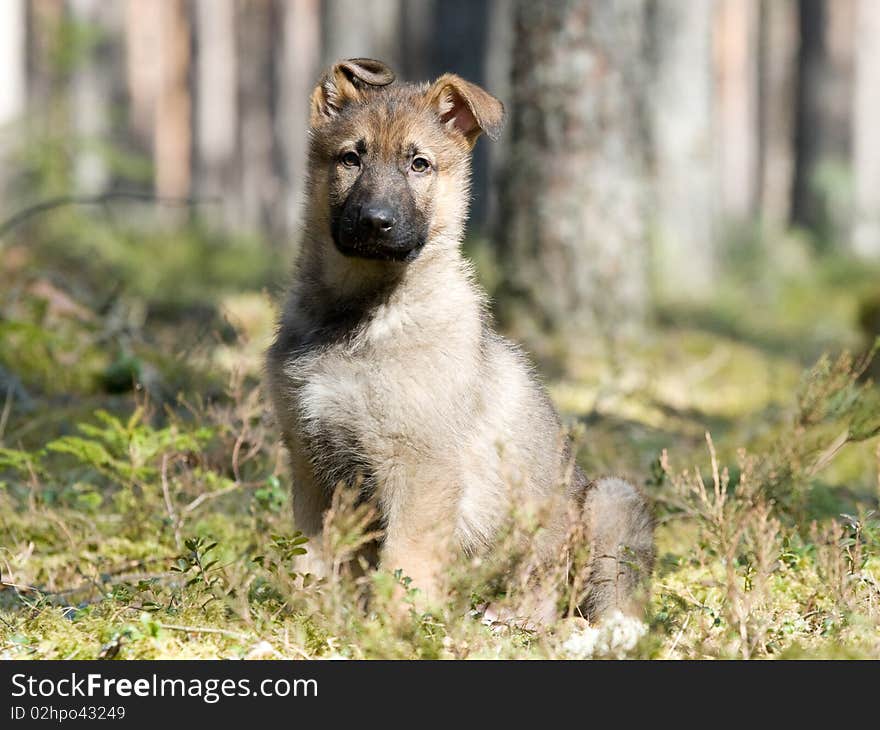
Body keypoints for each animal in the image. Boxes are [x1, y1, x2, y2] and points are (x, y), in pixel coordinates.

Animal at [262, 59, 652, 624]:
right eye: (351, 158)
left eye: (420, 164)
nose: (375, 222)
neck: (360, 316)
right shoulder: (311, 459)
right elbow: (312, 556)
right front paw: (311, 615)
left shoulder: (419, 465)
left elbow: (405, 560)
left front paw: (394, 625)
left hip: (612, 503)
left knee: (593, 603)